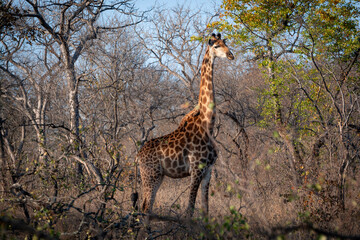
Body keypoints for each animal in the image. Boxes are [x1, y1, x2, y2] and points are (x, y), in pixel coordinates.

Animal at [136, 33, 233, 216]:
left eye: (226, 43)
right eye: (216, 46)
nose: (231, 55)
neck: (207, 124)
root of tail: (137, 156)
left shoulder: (208, 170)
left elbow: (205, 209)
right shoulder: (196, 169)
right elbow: (190, 209)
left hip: (158, 176)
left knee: (146, 207)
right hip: (150, 175)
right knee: (145, 207)